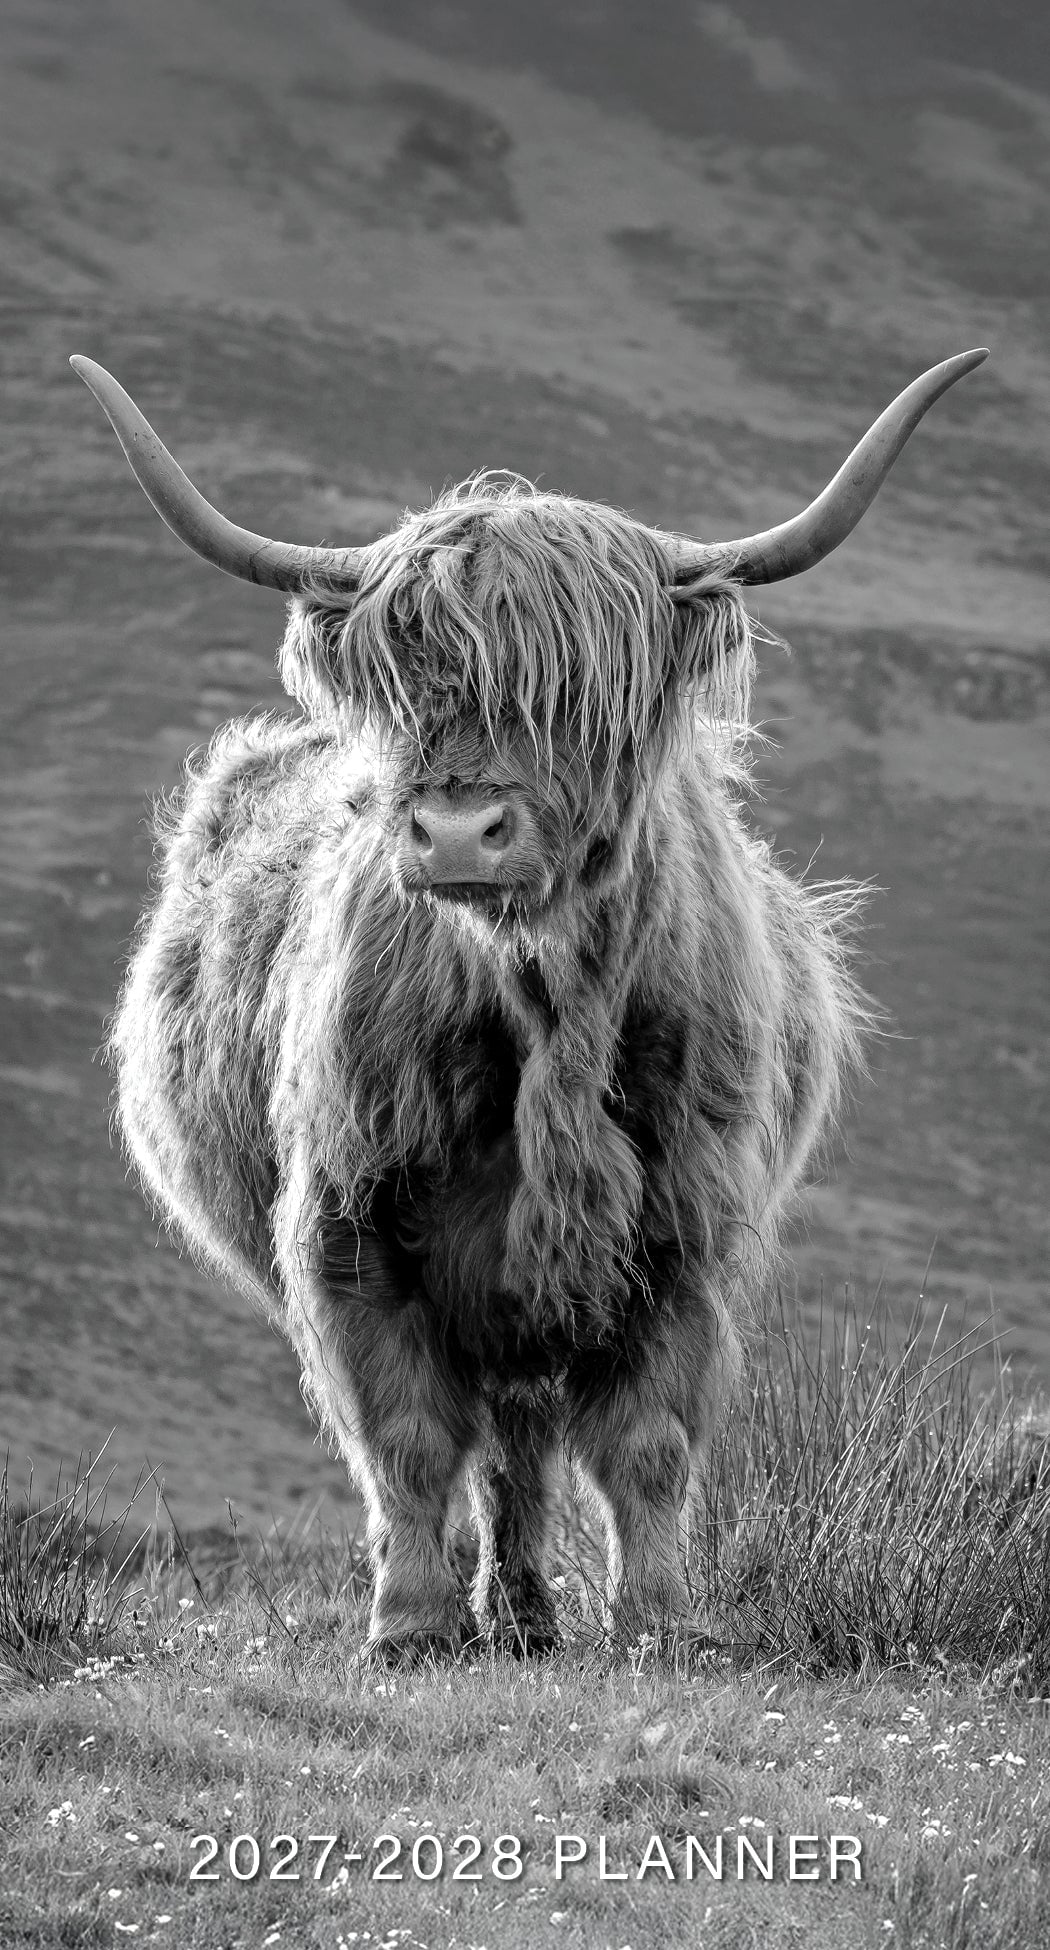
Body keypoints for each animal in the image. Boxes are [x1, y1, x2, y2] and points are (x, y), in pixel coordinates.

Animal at [73, 348, 986, 1660]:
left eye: (579, 691)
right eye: (406, 680)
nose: (459, 831)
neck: (550, 1008)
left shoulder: (685, 1230)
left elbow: (647, 1444)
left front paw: (656, 1624)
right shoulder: (348, 1217)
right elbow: (405, 1439)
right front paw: (408, 1626)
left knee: (526, 1437)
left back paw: (529, 1615)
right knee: (498, 1436)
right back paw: (499, 1614)